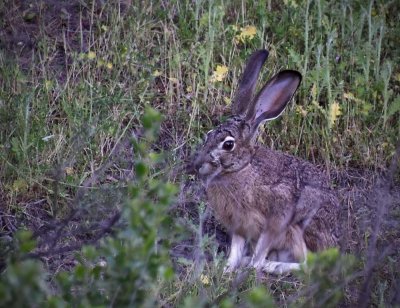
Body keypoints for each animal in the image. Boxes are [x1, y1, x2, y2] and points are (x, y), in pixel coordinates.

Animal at [192, 50, 340, 274]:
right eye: (208, 135)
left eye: (228, 145)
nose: (198, 164)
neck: (242, 168)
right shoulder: (239, 226)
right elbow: (235, 249)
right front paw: (228, 268)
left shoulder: (276, 219)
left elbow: (262, 249)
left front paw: (250, 268)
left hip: (300, 228)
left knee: (308, 265)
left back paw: (270, 266)